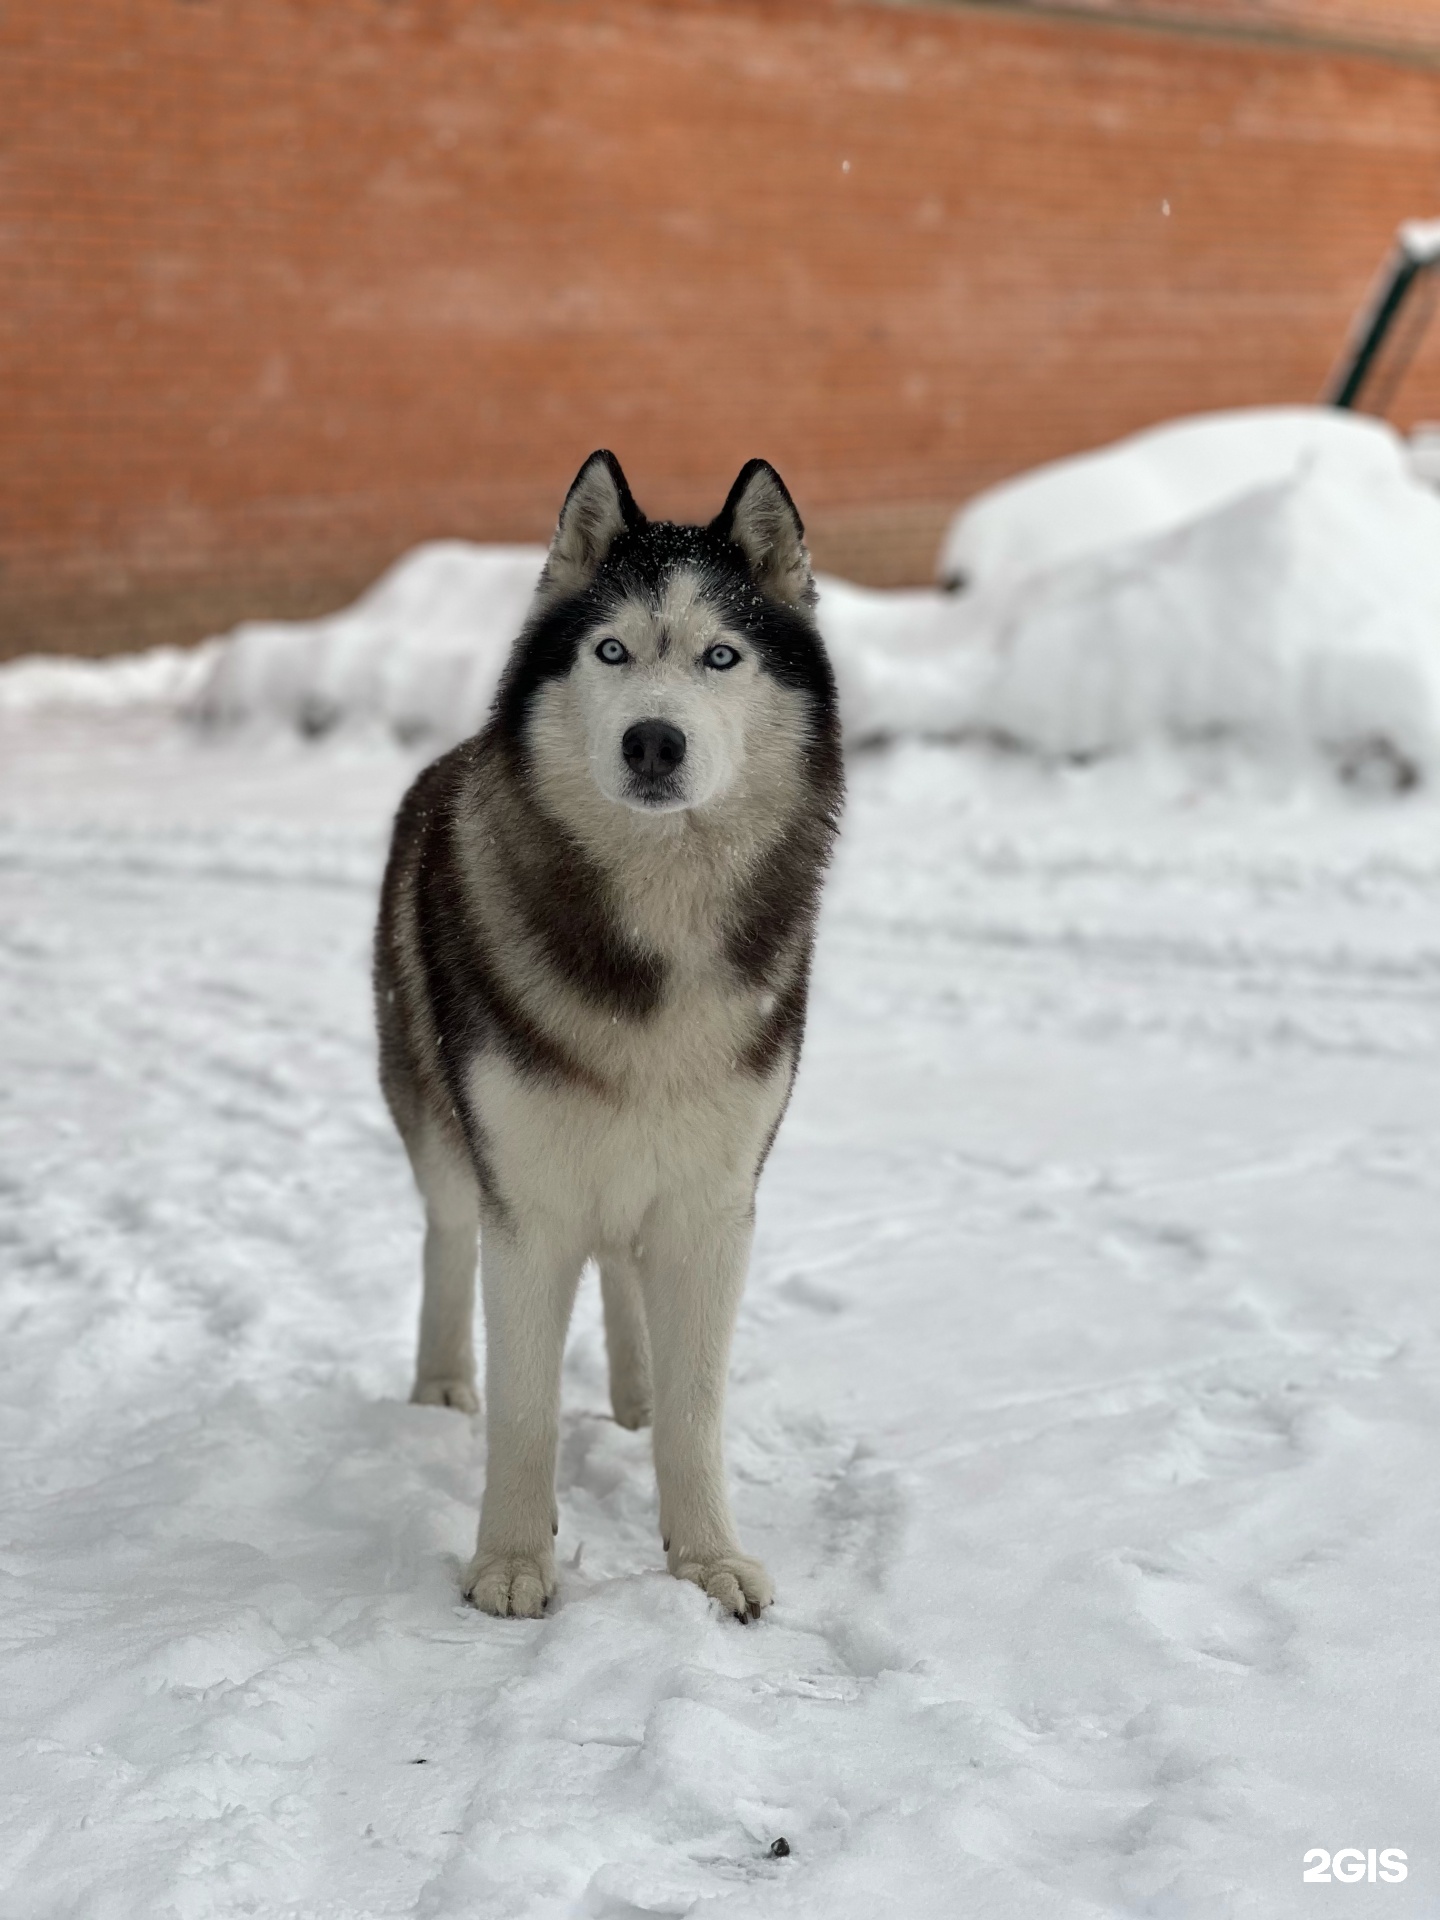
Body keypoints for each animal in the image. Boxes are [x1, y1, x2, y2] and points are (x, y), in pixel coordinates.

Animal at [374, 453, 844, 1620]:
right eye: (611, 651)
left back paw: (631, 1397)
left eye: (722, 655)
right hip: (442, 1124)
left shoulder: (716, 1203)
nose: (653, 740)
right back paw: (440, 1386)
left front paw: (707, 1561)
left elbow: (697, 1405)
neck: (653, 930)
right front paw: (509, 1563)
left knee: (626, 1271)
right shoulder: (528, 1203)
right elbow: (526, 1406)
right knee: (446, 1236)